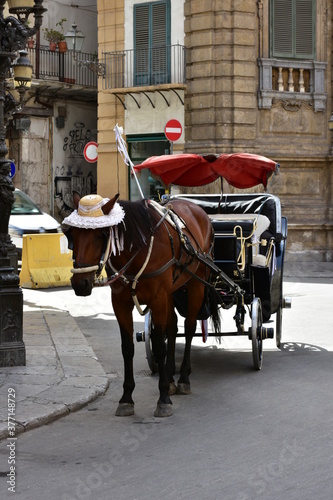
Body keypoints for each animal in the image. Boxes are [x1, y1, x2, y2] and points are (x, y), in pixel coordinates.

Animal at [63, 192, 219, 418]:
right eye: (72, 235)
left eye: (102, 235)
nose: (80, 284)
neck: (139, 249)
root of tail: (196, 208)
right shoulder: (120, 303)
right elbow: (128, 347)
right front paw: (127, 397)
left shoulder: (158, 299)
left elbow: (159, 345)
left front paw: (163, 398)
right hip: (171, 292)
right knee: (173, 328)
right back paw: (171, 377)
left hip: (196, 283)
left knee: (189, 328)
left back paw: (183, 378)